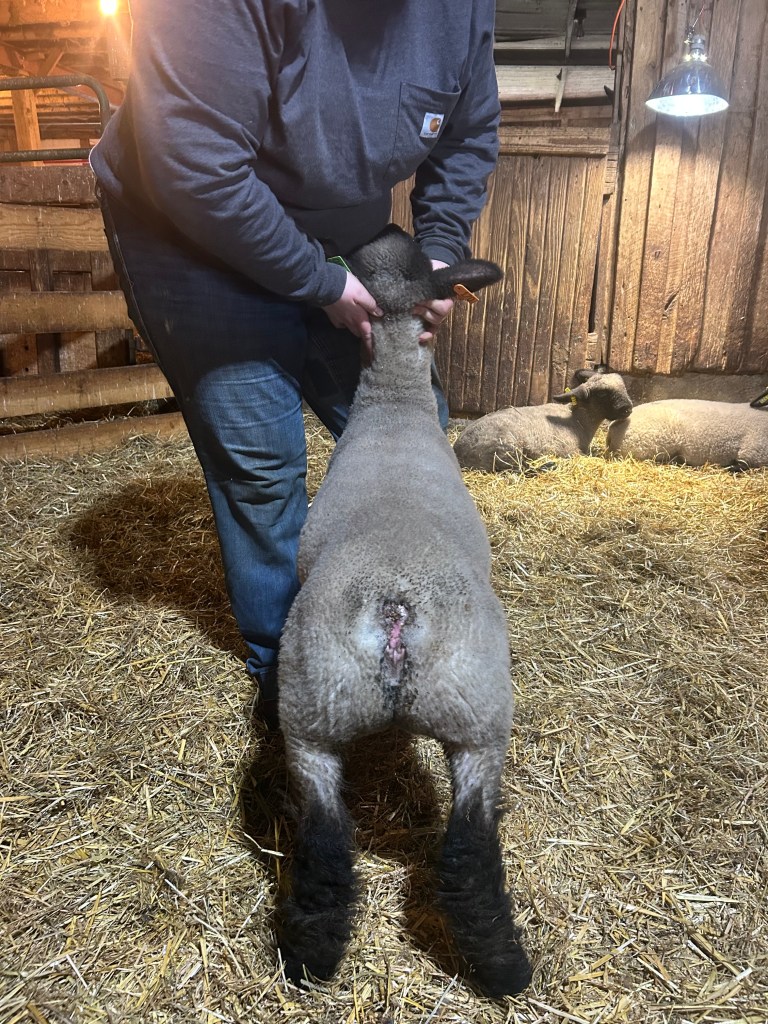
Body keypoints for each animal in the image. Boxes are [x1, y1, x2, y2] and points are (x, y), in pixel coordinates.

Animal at [276, 225, 532, 998]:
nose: (383, 228)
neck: (393, 406)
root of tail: (395, 613)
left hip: (326, 719)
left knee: (331, 847)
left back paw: (312, 959)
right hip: (464, 719)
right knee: (466, 852)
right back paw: (503, 967)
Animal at [453, 372, 633, 472]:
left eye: (623, 387)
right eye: (602, 394)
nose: (628, 408)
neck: (577, 420)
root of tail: (458, 451)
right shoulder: (570, 452)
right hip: (505, 449)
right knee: (517, 470)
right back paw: (547, 466)